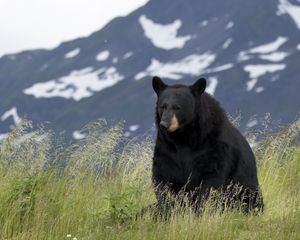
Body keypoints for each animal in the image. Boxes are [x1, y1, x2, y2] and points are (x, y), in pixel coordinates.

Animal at [152, 76, 262, 215]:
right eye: (163, 106)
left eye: (178, 107)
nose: (164, 124)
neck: (183, 137)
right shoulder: (166, 149)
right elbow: (163, 177)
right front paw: (168, 210)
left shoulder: (213, 147)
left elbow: (210, 181)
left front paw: (199, 211)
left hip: (247, 189)